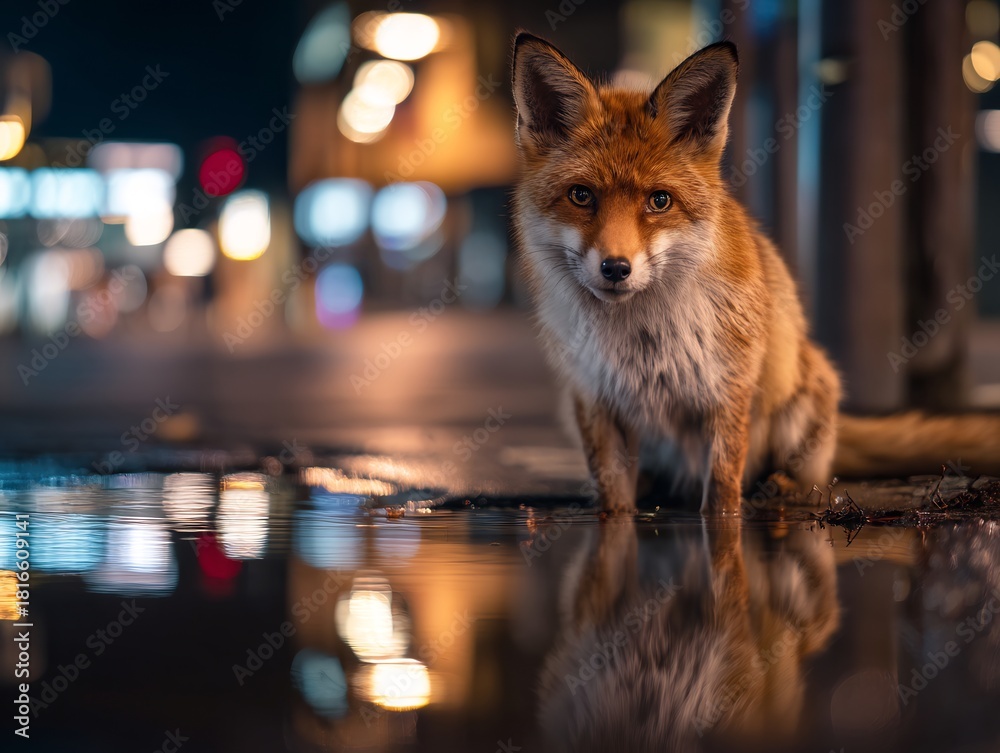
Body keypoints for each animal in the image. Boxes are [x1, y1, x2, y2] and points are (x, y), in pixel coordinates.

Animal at [510, 33, 1000, 515]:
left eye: (659, 201)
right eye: (581, 195)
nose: (616, 268)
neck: (642, 339)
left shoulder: (728, 388)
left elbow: (722, 493)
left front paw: (726, 526)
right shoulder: (592, 397)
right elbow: (613, 500)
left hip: (801, 400)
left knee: (812, 473)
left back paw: (785, 486)